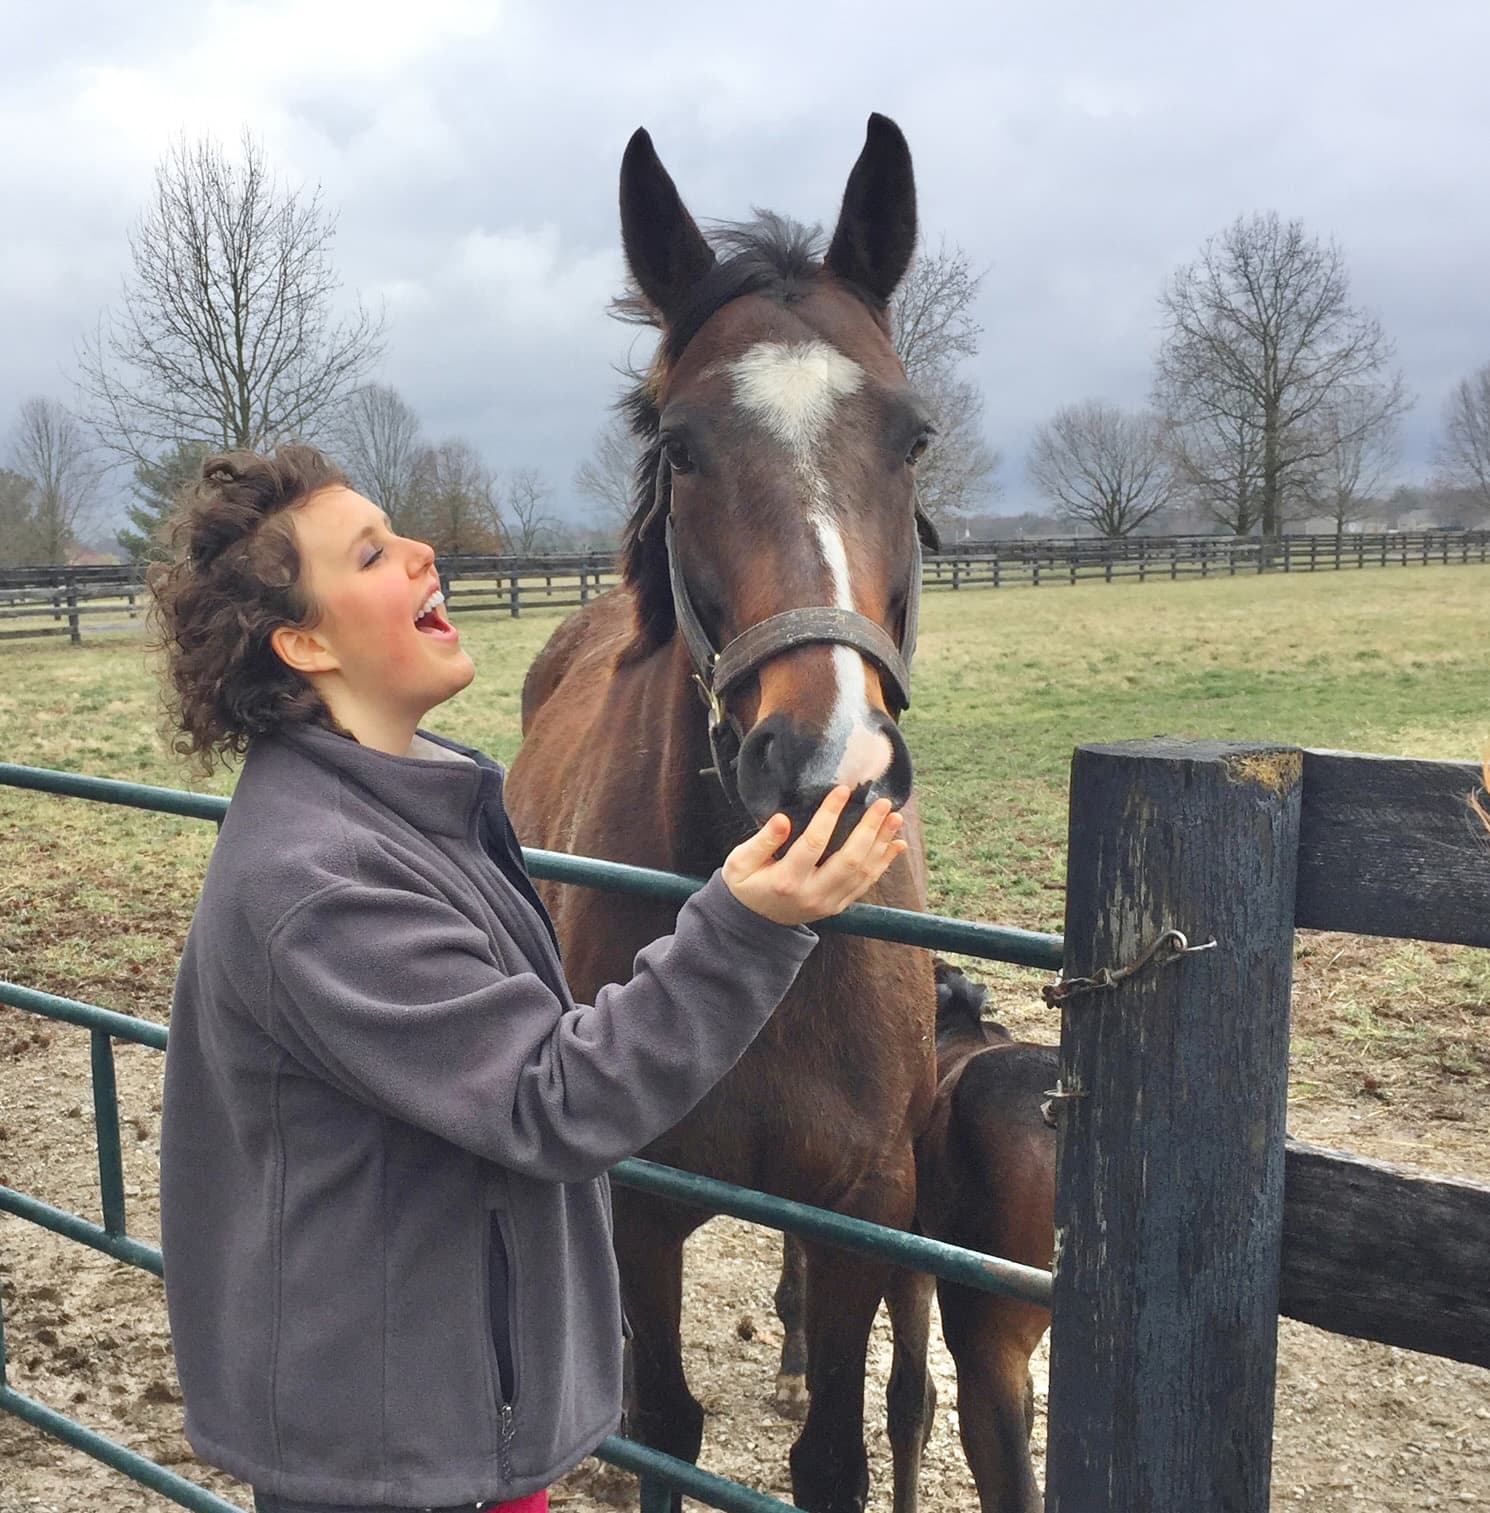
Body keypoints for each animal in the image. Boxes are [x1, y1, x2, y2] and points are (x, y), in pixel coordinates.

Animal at [505, 115, 940, 1513]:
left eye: (911, 436)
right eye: (681, 444)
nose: (824, 765)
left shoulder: (864, 1201)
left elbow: (831, 1457)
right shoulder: (637, 1206)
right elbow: (664, 1422)